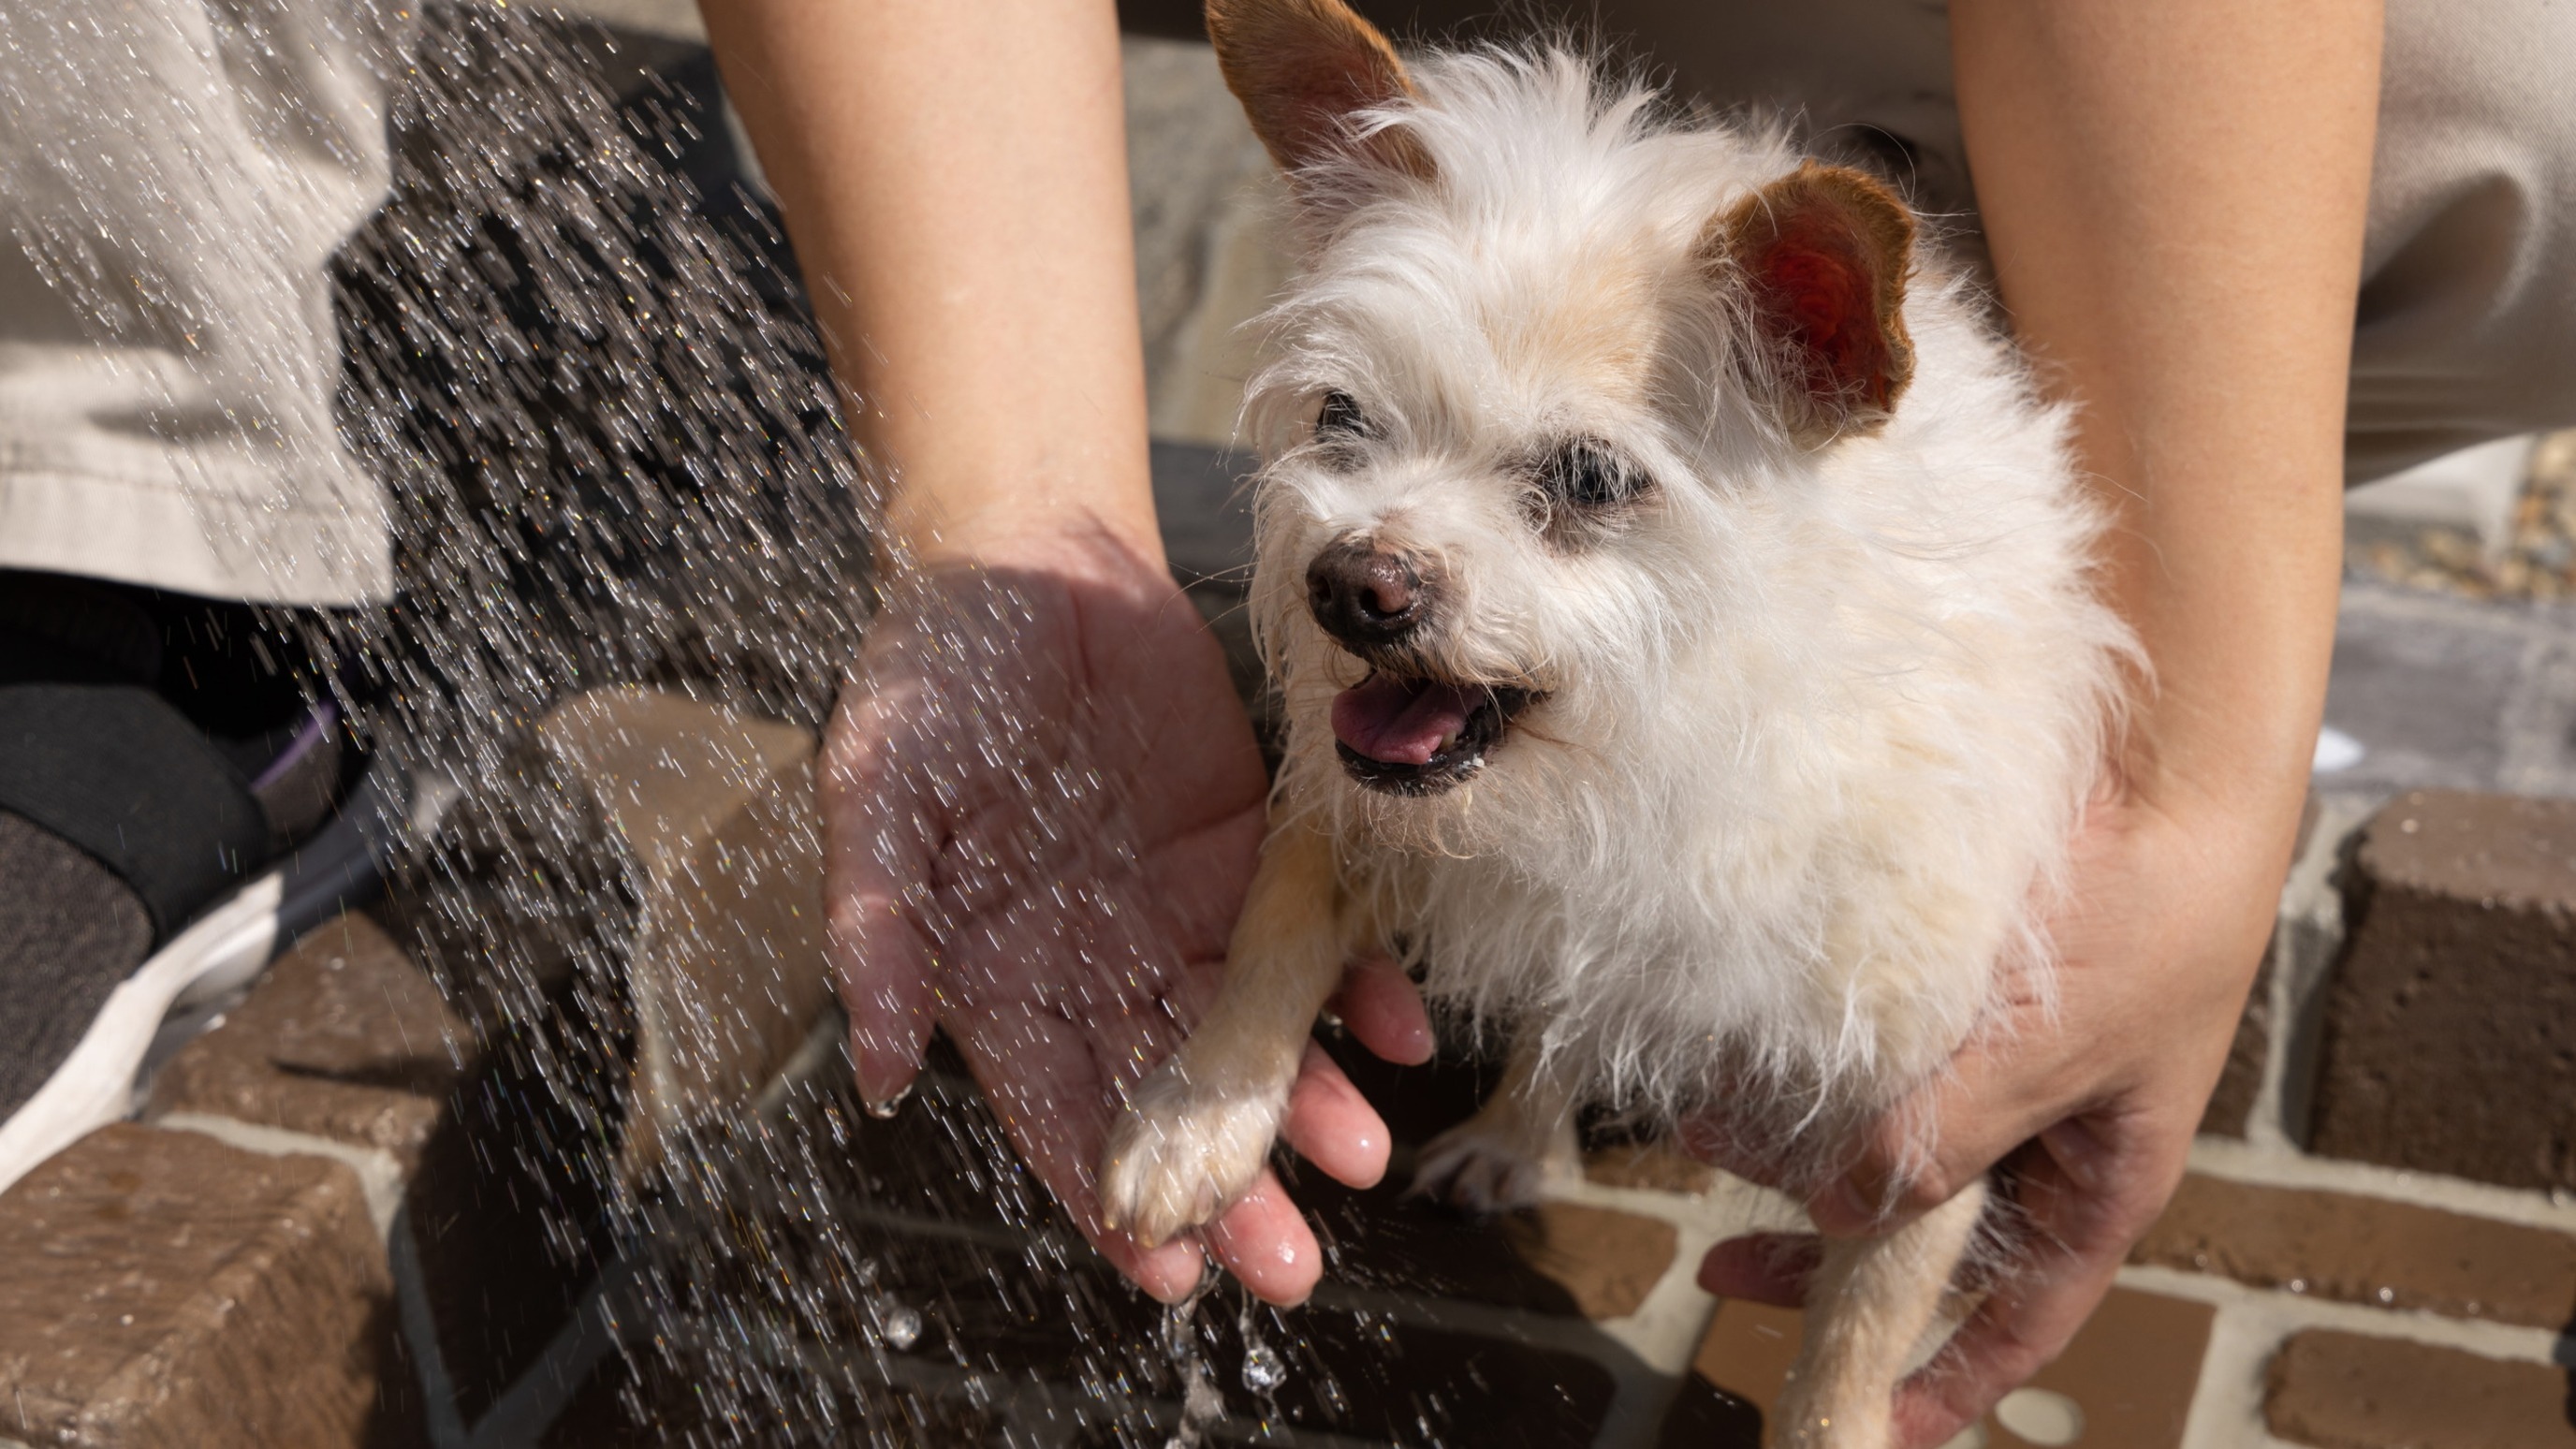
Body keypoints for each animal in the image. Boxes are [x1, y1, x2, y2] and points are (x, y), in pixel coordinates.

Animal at [1107, 3, 2132, 1433]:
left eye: (1590, 478)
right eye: (1340, 417)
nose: (1351, 584)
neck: (1663, 737)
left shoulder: (1933, 1124)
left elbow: (1854, 1355)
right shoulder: (1351, 794)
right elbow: (1278, 923)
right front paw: (1196, 1121)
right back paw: (1511, 1131)